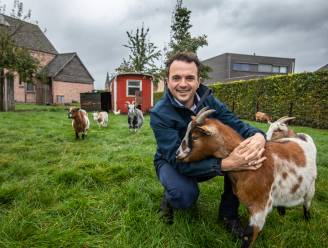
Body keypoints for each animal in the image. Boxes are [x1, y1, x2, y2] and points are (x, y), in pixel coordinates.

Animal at [177, 107, 318, 248]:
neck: (254, 167)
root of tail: (299, 136)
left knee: (306, 204)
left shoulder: (260, 206)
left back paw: (307, 221)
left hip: (310, 187)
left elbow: (248, 236)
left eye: (195, 137)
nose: (177, 155)